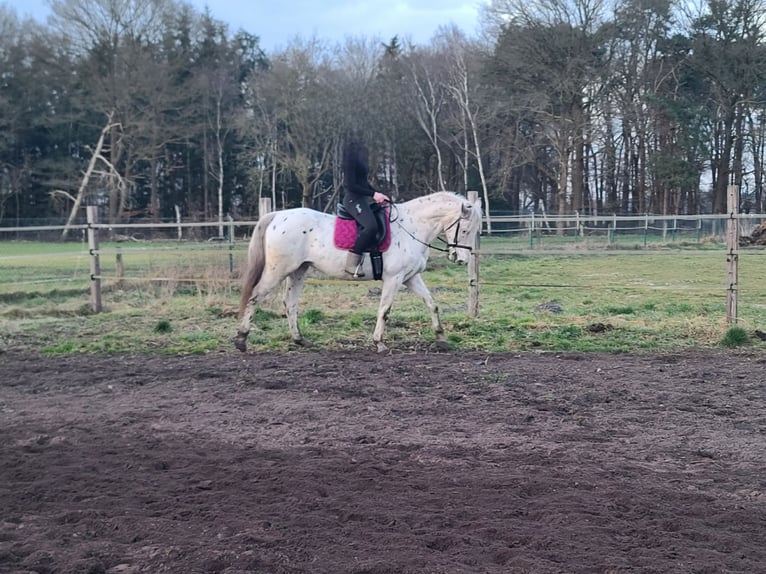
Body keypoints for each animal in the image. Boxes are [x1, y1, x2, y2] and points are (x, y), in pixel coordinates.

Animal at [237, 194, 484, 354]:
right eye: (465, 230)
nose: (462, 259)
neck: (412, 227)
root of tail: (278, 216)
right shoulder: (394, 278)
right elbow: (385, 310)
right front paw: (379, 343)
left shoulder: (410, 277)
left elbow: (432, 304)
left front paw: (441, 339)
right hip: (278, 270)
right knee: (255, 296)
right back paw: (241, 340)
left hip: (298, 270)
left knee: (290, 303)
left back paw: (300, 340)